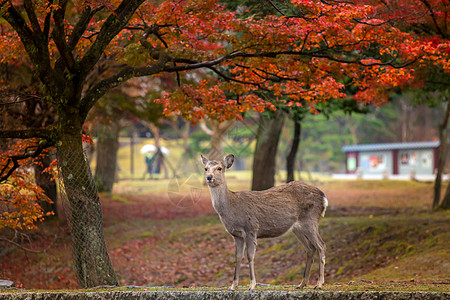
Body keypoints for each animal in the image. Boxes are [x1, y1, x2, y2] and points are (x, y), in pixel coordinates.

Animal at [200, 154, 326, 290]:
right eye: (205, 168)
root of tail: (323, 197)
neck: (231, 207)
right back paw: (302, 283)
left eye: (219, 168)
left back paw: (319, 283)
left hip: (310, 220)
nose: (209, 177)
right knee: (310, 249)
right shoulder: (236, 235)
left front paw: (252, 285)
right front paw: (233, 286)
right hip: (298, 228)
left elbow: (250, 256)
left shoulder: (251, 228)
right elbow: (237, 257)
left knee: (321, 246)